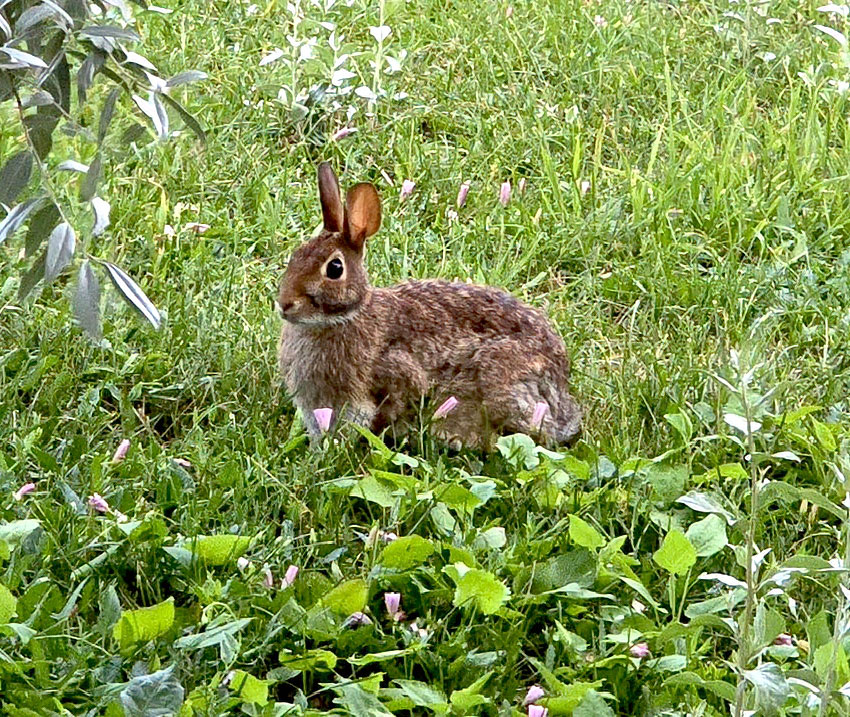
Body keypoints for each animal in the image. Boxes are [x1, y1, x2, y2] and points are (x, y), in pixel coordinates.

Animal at [277, 162, 582, 450]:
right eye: (295, 255)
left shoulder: (392, 375)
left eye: (335, 268)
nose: (284, 304)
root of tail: (559, 384)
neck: (347, 315)